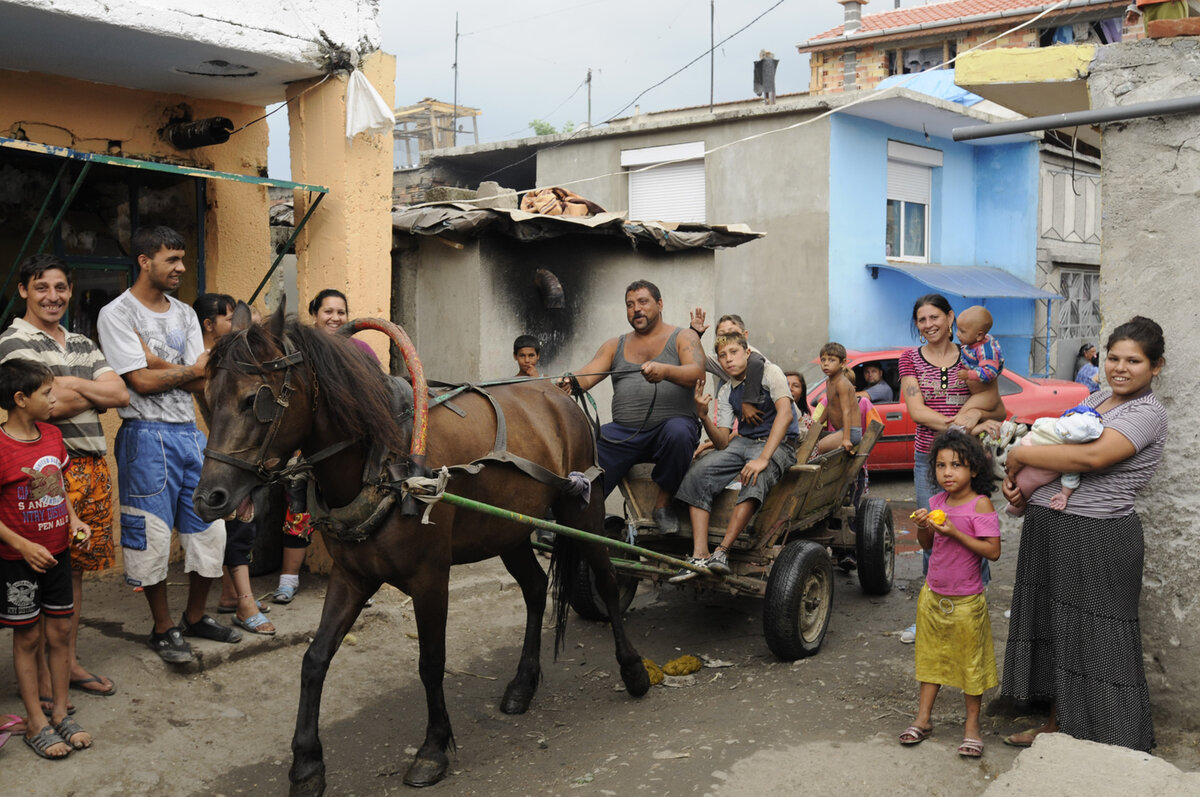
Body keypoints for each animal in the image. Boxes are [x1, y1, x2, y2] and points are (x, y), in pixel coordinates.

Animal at [193, 302, 652, 792]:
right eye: (209, 396)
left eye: (255, 399)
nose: (208, 498)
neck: (382, 462)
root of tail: (558, 394)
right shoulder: (352, 576)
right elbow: (315, 658)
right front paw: (307, 765)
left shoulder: (430, 578)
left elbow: (431, 661)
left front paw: (433, 750)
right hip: (507, 529)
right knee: (533, 588)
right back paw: (522, 685)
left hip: (580, 509)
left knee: (607, 580)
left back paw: (633, 670)